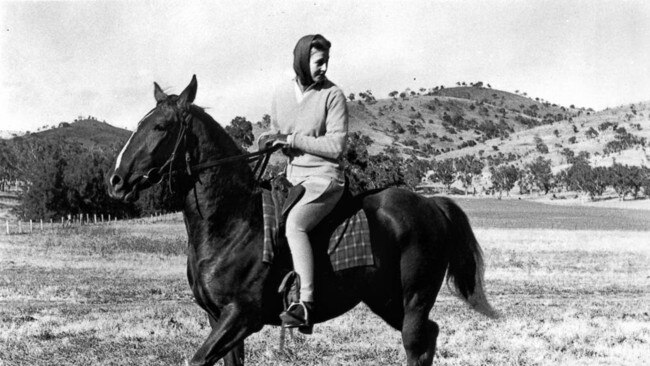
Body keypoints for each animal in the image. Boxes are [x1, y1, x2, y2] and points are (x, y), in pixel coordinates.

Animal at [109, 75, 498, 366]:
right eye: (141, 123)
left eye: (161, 126)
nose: (116, 181)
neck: (233, 224)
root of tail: (431, 205)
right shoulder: (217, 317)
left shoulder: (241, 316)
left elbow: (197, 359)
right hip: (387, 301)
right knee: (428, 337)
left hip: (414, 298)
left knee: (416, 345)